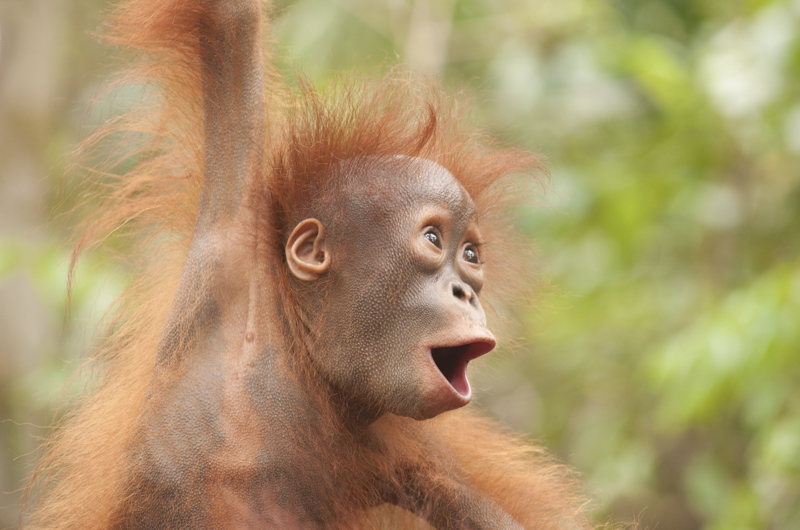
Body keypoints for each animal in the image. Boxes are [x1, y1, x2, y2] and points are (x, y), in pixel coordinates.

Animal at [25, 0, 594, 528]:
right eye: (434, 239)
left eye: (471, 256)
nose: (467, 292)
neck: (301, 358)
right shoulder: (236, 242)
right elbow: (231, 25)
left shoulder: (394, 449)